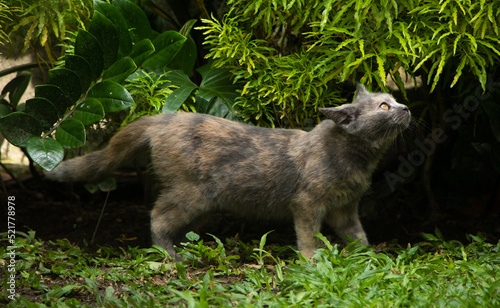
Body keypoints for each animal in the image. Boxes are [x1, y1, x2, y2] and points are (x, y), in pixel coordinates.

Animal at [47, 85, 410, 260]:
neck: (358, 160)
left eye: (393, 100)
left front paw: (370, 258)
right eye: (384, 107)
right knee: (157, 216)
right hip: (193, 193)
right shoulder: (307, 204)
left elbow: (359, 236)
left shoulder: (345, 209)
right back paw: (171, 254)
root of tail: (164, 118)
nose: (406, 108)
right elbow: (308, 236)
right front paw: (312, 261)